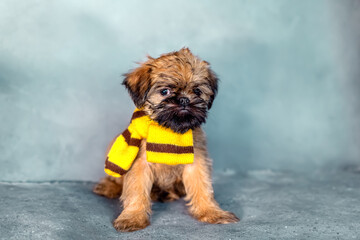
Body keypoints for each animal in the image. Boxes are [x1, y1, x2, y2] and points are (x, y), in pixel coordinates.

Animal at [93, 47, 239, 232]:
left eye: (197, 91)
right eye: (165, 92)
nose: (184, 99)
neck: (170, 131)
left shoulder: (197, 161)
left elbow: (203, 187)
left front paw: (212, 212)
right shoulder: (140, 163)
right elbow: (136, 190)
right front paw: (133, 217)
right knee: (115, 180)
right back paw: (109, 187)